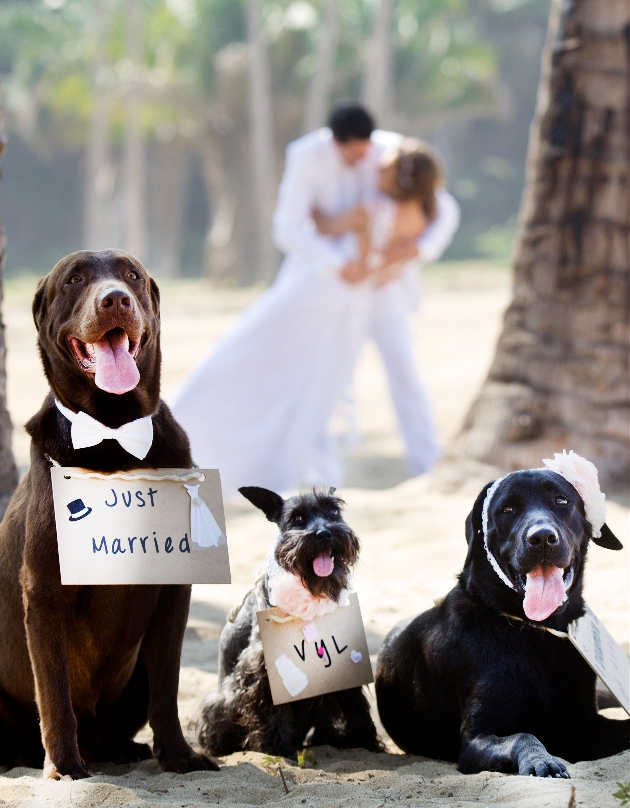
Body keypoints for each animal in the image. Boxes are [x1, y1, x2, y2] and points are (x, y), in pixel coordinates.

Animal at [199, 486, 386, 756]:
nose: (324, 533)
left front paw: (365, 741)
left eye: (334, 511)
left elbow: (353, 701)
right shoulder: (261, 665)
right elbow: (269, 707)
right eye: (296, 518)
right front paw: (276, 746)